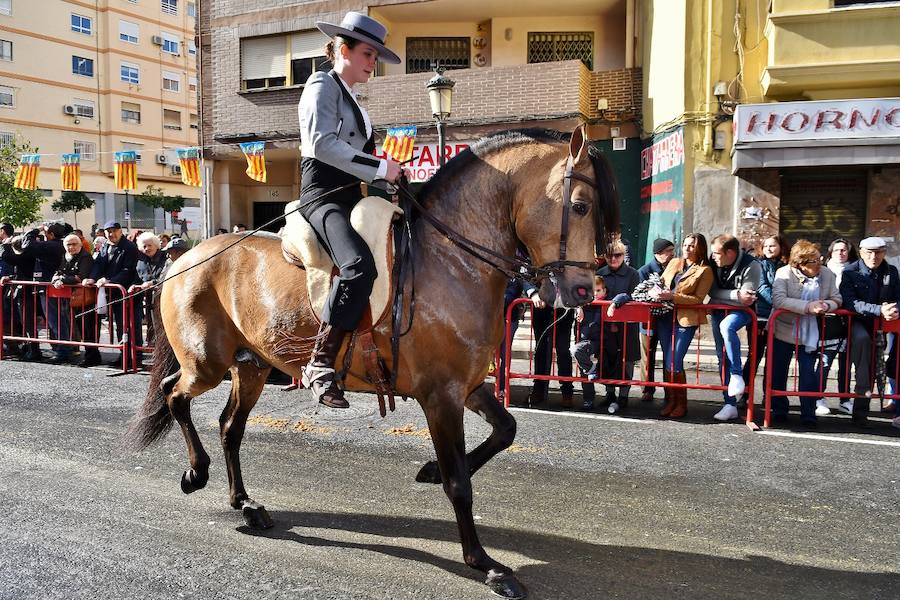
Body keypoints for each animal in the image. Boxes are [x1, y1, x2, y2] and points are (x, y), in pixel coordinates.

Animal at [126, 124, 620, 596]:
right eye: (580, 206)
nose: (583, 291)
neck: (450, 261)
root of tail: (183, 258)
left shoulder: (468, 385)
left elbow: (505, 429)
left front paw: (430, 471)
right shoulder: (441, 396)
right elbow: (460, 483)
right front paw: (486, 565)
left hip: (251, 366)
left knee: (231, 427)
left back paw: (245, 504)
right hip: (206, 364)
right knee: (174, 395)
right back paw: (196, 472)